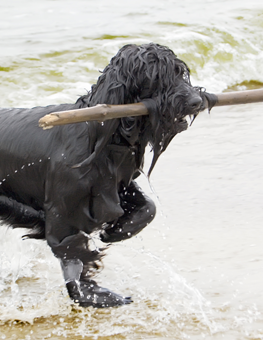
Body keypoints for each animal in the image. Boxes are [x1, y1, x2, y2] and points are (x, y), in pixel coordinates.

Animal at [0, 43, 216, 308]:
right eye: (156, 77)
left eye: (180, 73)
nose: (196, 101)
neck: (101, 135)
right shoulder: (63, 208)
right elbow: (71, 250)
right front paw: (91, 294)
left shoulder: (117, 184)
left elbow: (148, 208)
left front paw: (116, 231)